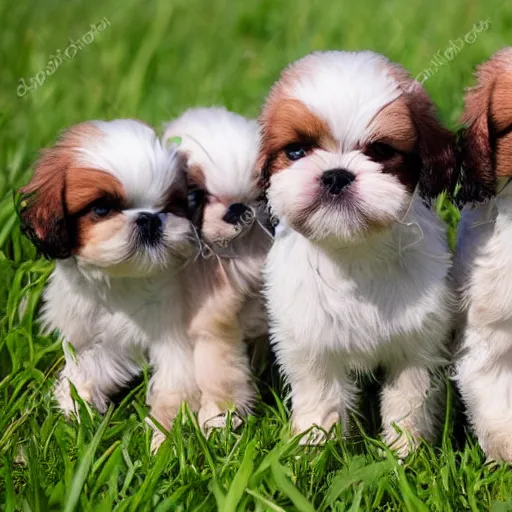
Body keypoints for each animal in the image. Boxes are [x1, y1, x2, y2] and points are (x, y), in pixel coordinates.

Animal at [18, 120, 199, 448]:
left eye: (169, 206)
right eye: (101, 208)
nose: (149, 219)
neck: (119, 281)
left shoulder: (173, 336)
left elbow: (175, 385)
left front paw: (163, 439)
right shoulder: (102, 335)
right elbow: (93, 364)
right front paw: (77, 401)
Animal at [163, 107, 272, 432]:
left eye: (260, 195)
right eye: (195, 197)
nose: (237, 209)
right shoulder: (213, 319)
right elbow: (220, 370)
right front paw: (220, 418)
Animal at [260, 50, 456, 454]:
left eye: (380, 151)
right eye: (296, 151)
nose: (336, 174)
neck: (354, 252)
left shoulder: (417, 343)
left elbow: (408, 401)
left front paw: (405, 455)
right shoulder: (312, 346)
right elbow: (321, 399)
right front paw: (314, 453)